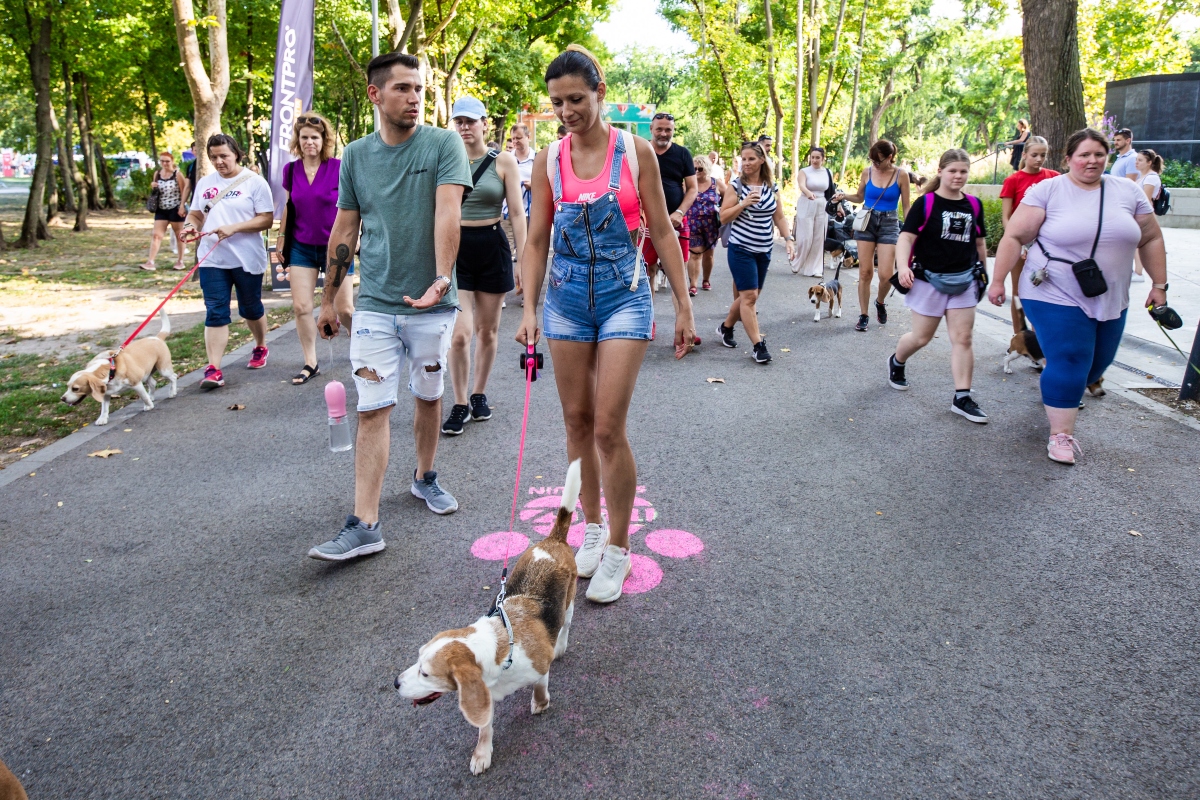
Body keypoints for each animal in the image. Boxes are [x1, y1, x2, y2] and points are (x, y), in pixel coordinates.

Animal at [393, 462, 580, 777]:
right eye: (417, 659)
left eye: (426, 674)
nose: (395, 682)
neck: (503, 649)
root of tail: (552, 540)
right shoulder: (484, 692)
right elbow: (484, 728)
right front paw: (482, 754)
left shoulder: (539, 669)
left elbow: (540, 686)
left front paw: (540, 703)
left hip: (568, 604)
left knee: (565, 625)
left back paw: (561, 645)